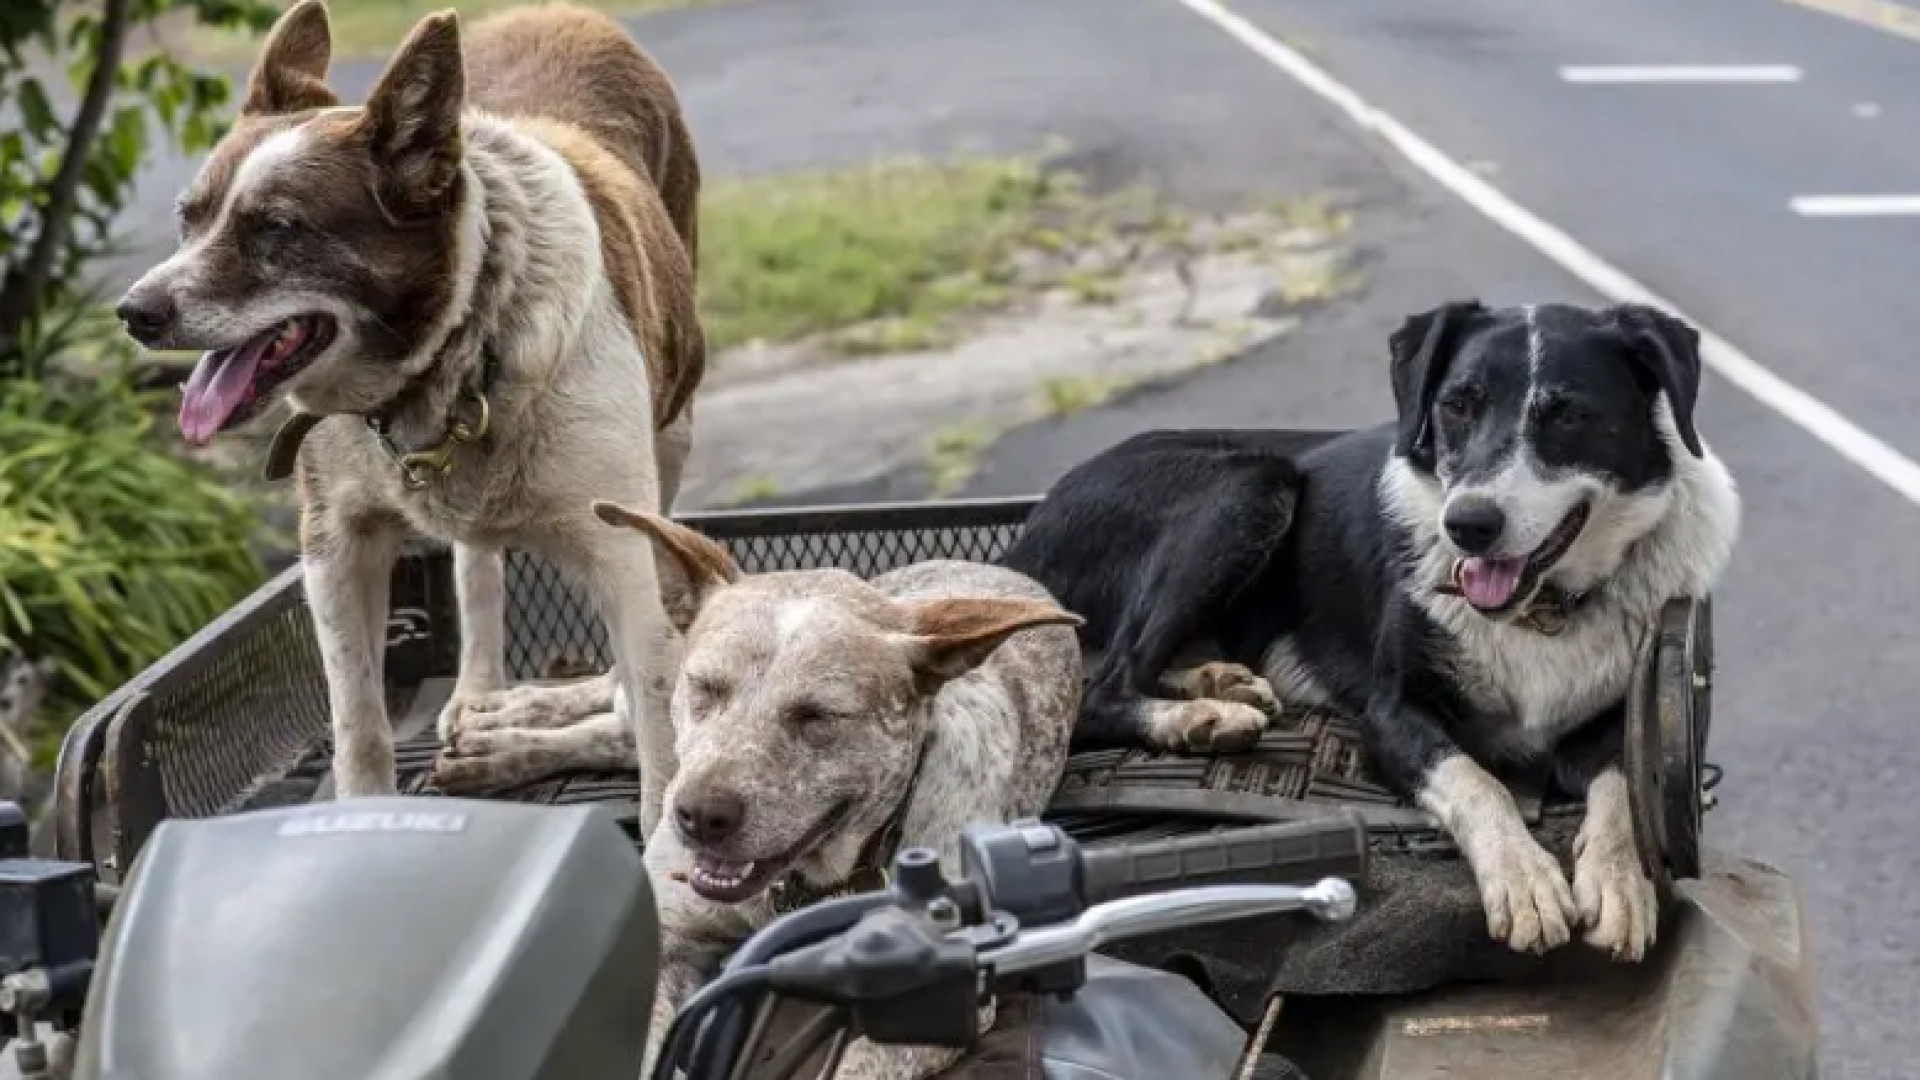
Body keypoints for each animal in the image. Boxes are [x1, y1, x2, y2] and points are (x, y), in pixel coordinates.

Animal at [110, 2, 706, 834]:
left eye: (278, 228)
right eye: (188, 218)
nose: (134, 313)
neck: (448, 355)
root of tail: (563, 13)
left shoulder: (625, 553)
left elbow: (658, 732)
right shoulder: (336, 545)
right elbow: (358, 723)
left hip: (675, 429)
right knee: (477, 564)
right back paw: (482, 696)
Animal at [1006, 297, 1743, 953]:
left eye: (1568, 414)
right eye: (1456, 405)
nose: (1467, 525)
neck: (1541, 609)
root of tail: (1025, 537)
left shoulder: (1614, 719)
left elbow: (1622, 785)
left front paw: (1620, 882)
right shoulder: (1390, 717)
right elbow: (1478, 781)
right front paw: (1526, 880)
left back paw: (1218, 685)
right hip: (1249, 483)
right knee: (1100, 688)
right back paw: (1199, 717)